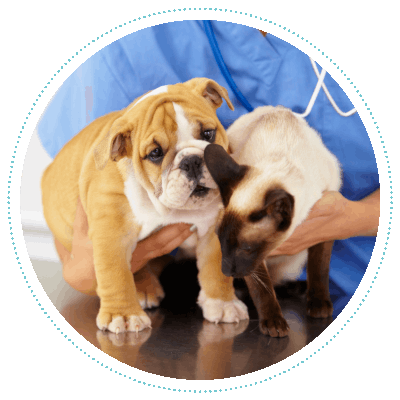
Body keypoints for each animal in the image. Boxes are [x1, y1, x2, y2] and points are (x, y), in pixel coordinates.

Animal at [43, 78, 250, 334]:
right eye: (155, 153)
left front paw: (222, 303)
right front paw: (122, 315)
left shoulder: (213, 229)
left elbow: (216, 269)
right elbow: (115, 272)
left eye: (208, 133)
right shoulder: (112, 232)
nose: (191, 161)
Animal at [206, 104, 340, 336]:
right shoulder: (254, 262)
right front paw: (274, 323)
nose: (226, 271)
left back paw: (298, 288)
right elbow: (262, 288)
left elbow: (319, 268)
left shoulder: (325, 220)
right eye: (221, 242)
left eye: (246, 248)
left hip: (292, 262)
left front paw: (319, 305)